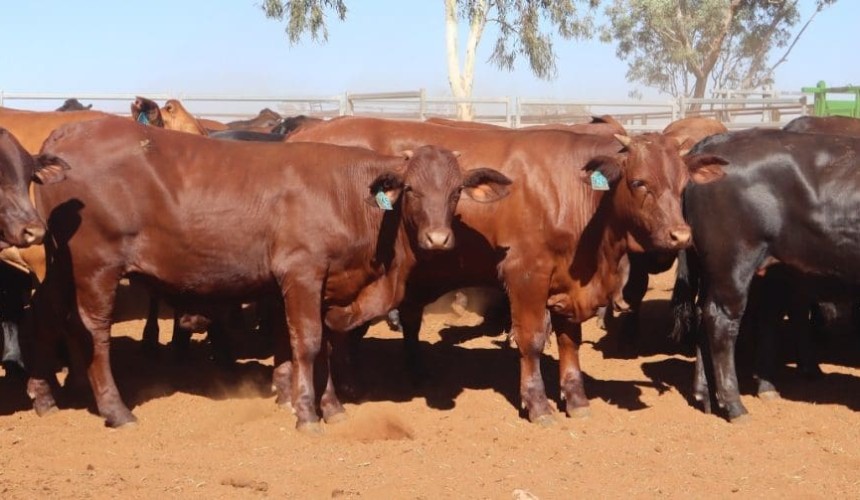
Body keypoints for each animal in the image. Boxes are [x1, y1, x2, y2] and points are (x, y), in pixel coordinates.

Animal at [25, 116, 511, 430]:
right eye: (410, 189)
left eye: (456, 191)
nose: (438, 239)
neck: (350, 197)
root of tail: (70, 131)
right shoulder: (302, 273)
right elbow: (309, 343)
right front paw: (308, 412)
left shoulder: (328, 285)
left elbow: (325, 344)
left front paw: (329, 406)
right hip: (96, 266)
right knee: (94, 330)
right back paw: (116, 410)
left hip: (59, 266)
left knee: (47, 316)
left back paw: (46, 394)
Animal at [287, 116, 725, 423]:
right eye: (639, 182)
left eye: (682, 184)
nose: (680, 234)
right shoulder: (525, 273)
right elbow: (531, 340)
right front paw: (538, 404)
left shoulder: (570, 282)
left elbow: (570, 343)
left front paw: (576, 399)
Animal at [671, 128, 860, 421]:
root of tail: (713, 143)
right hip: (734, 263)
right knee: (721, 322)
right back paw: (734, 404)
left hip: (714, 269)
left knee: (705, 316)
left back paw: (705, 396)